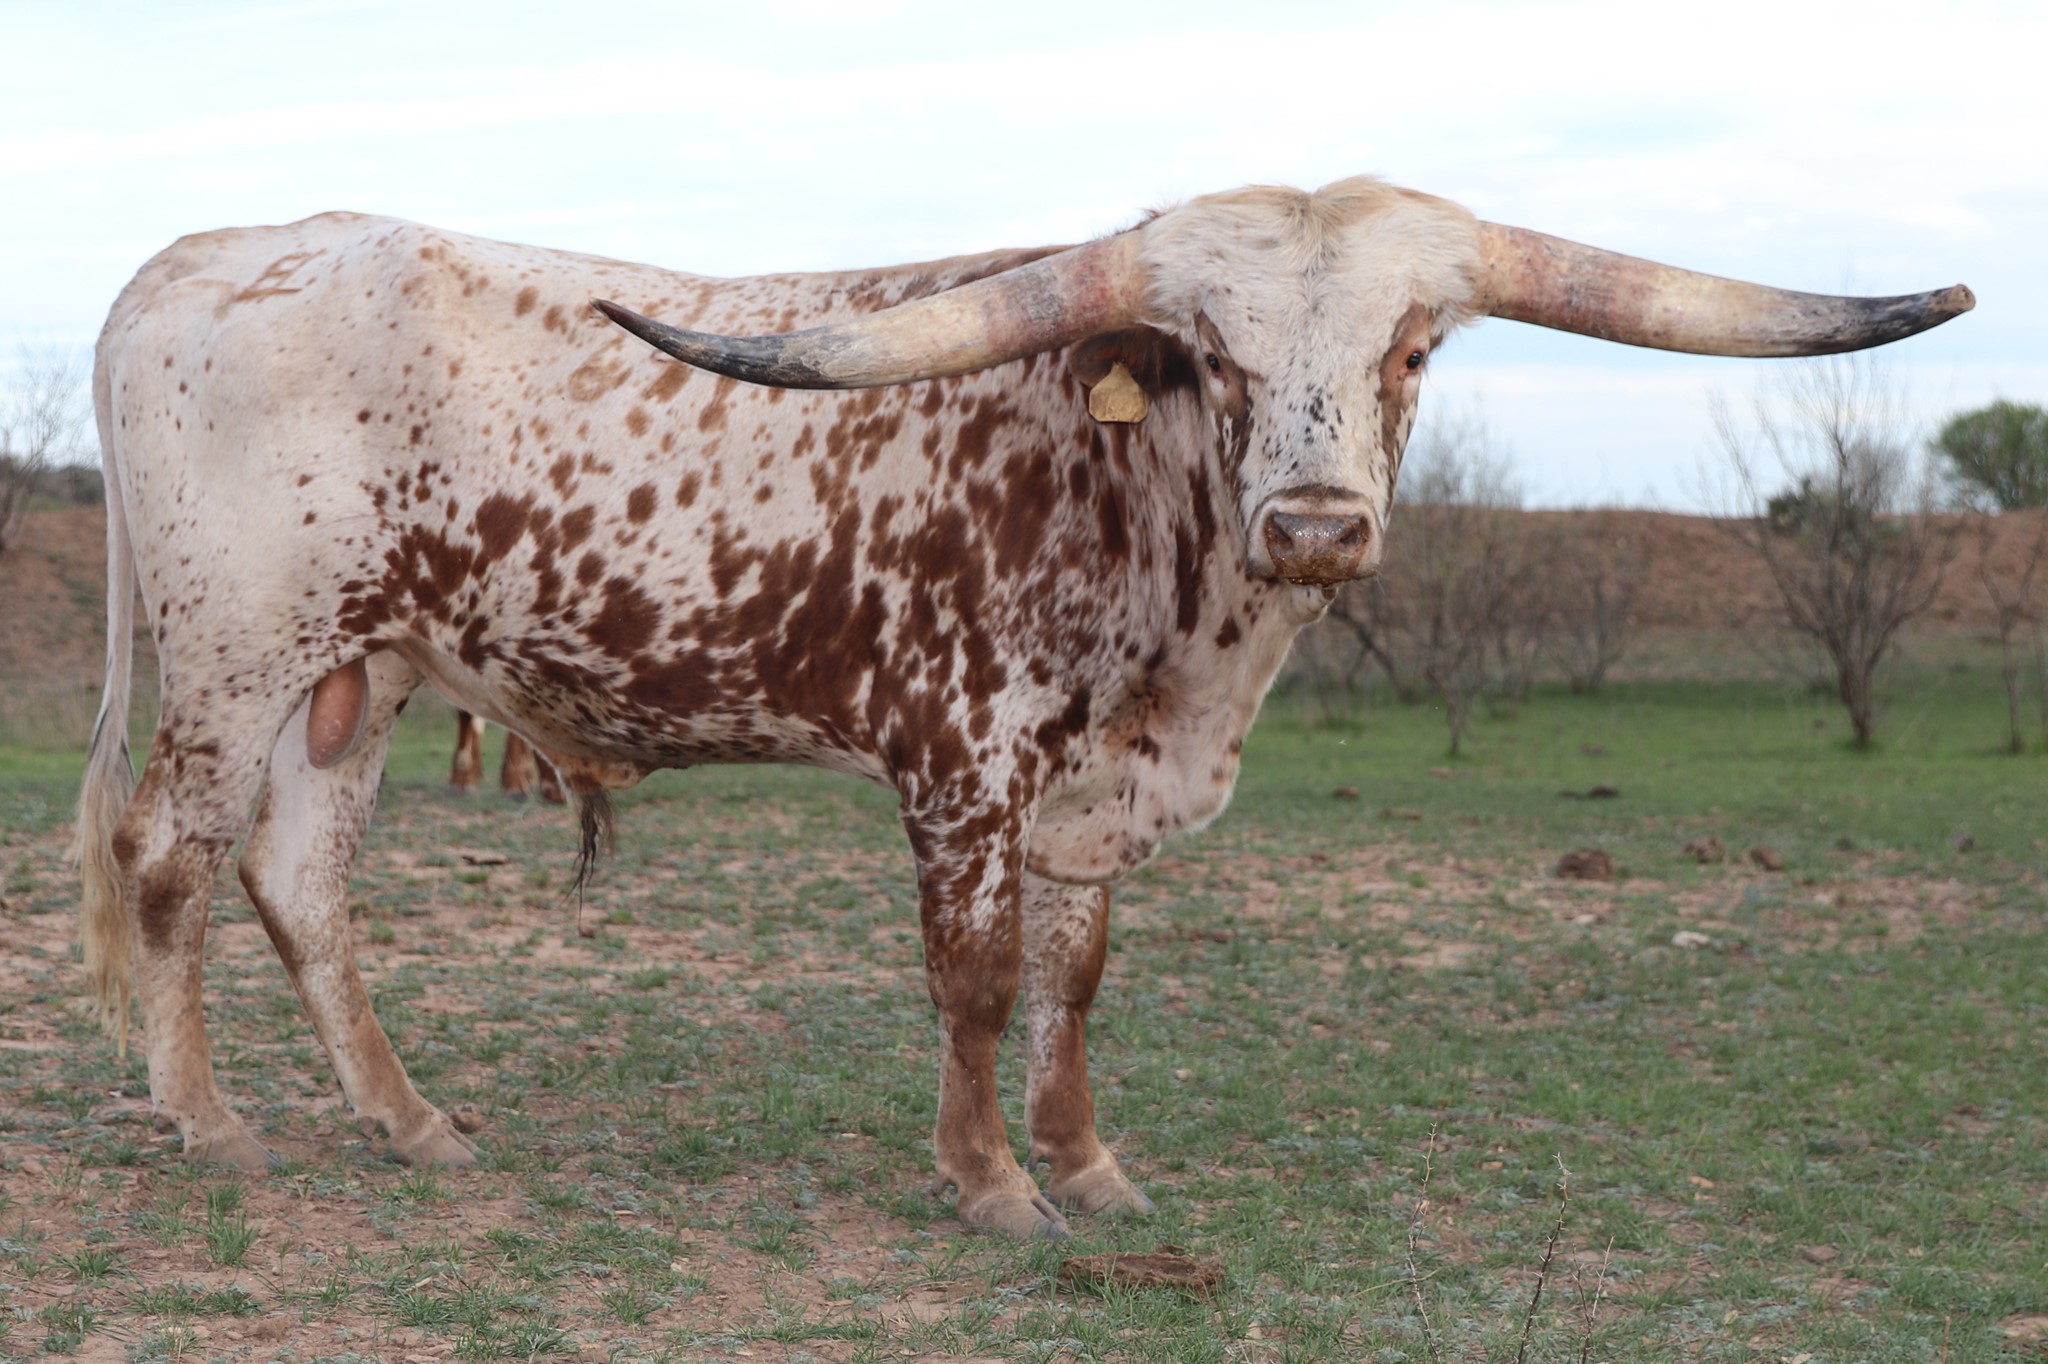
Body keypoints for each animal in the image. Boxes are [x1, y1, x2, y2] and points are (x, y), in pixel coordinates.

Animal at [73, 177, 1969, 1239]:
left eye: (1412, 349)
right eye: (1209, 356)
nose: (1314, 525)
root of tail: (199, 258)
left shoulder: (1088, 795)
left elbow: (1076, 978)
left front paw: (1089, 1167)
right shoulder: (960, 765)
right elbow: (978, 981)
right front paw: (989, 1186)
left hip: (360, 675)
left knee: (301, 882)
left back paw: (414, 1127)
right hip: (236, 659)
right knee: (169, 861)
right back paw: (212, 1123)